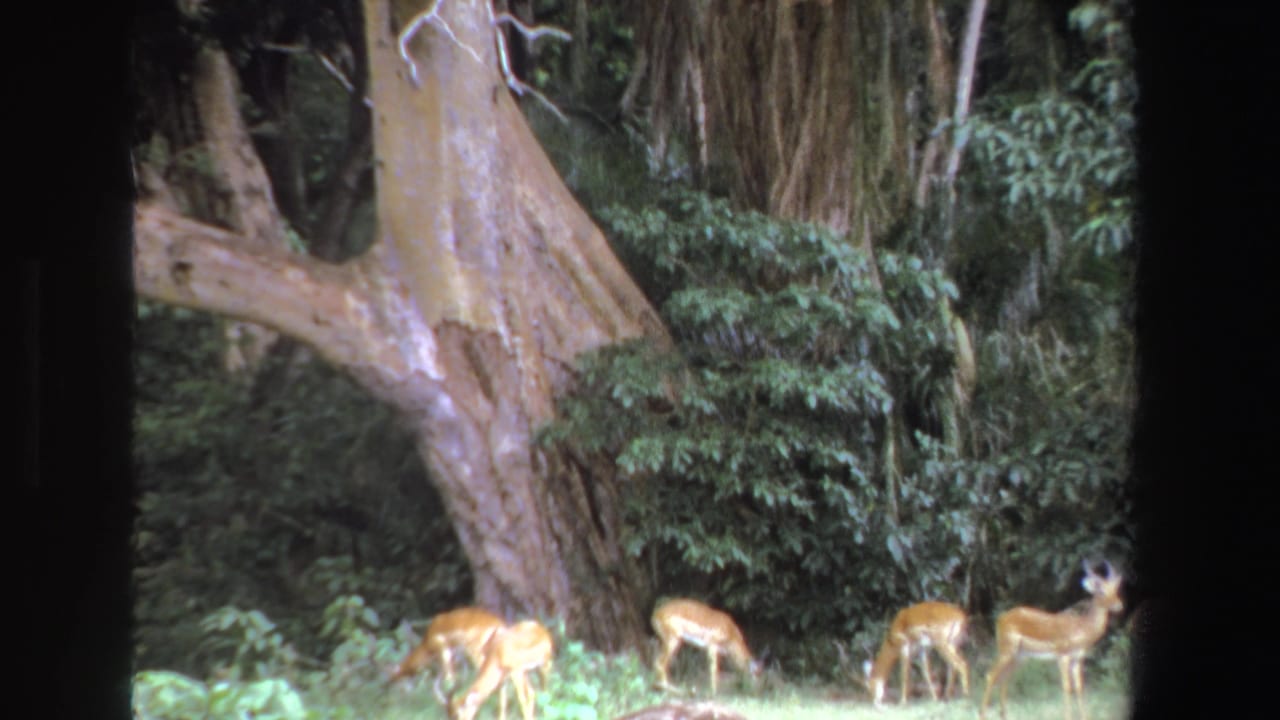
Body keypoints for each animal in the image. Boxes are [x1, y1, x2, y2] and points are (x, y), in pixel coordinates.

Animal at [979, 560, 1124, 720]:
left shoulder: (1077, 658)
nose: (1119, 605)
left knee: (1004, 679)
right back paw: (983, 714)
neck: (1081, 628)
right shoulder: (1063, 656)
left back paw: (1004, 714)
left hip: (1019, 657)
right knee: (990, 675)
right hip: (1007, 651)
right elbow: (1066, 687)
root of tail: (1001, 619)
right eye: (1100, 590)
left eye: (1116, 590)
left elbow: (1079, 688)